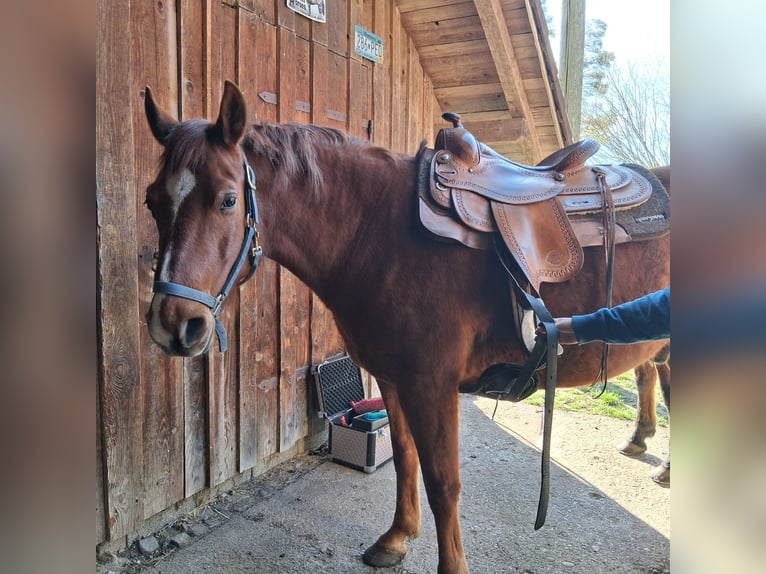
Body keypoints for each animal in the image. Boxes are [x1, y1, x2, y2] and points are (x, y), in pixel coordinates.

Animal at [142, 81, 670, 574]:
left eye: (228, 200)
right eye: (151, 201)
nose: (173, 325)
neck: (383, 237)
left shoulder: (432, 386)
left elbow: (443, 482)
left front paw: (450, 564)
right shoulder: (394, 381)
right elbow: (404, 458)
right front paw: (397, 538)